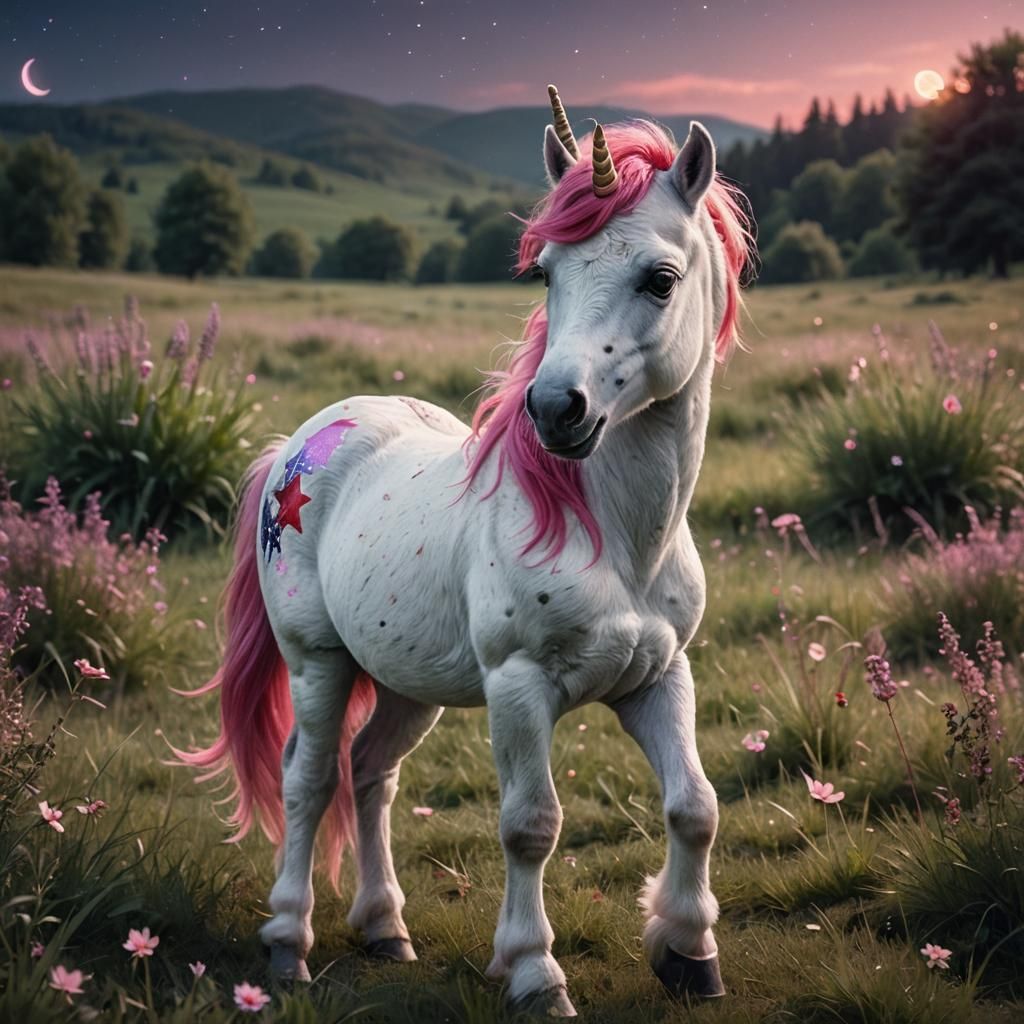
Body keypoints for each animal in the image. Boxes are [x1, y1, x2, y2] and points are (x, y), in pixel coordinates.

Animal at [176, 87, 752, 1017]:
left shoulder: (660, 677)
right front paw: (533, 972)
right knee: (309, 779)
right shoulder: (520, 687)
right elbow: (530, 825)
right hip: (320, 661)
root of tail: (300, 444)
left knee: (369, 774)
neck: (616, 538)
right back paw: (288, 942)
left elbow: (694, 806)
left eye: (660, 279)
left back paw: (384, 928)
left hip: (409, 684)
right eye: (546, 271)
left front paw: (689, 953)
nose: (555, 409)